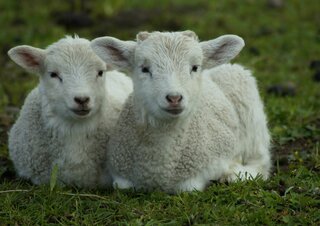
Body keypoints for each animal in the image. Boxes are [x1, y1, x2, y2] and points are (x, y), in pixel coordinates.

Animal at [91, 29, 272, 192]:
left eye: (195, 67)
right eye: (144, 69)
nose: (174, 98)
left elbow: (190, 187)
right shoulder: (121, 174)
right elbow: (121, 186)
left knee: (260, 161)